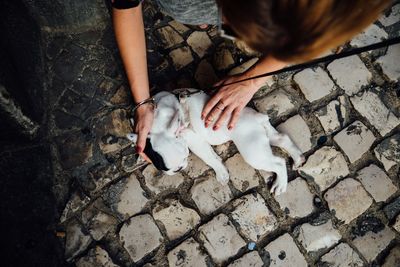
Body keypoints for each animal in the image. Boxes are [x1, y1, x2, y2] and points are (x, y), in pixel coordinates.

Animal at [130, 91, 304, 196]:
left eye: (185, 157)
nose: (179, 169)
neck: (160, 124)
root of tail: (256, 118)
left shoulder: (194, 141)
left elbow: (210, 158)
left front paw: (221, 173)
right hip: (263, 137)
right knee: (281, 139)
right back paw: (298, 158)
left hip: (253, 152)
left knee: (278, 162)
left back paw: (280, 184)